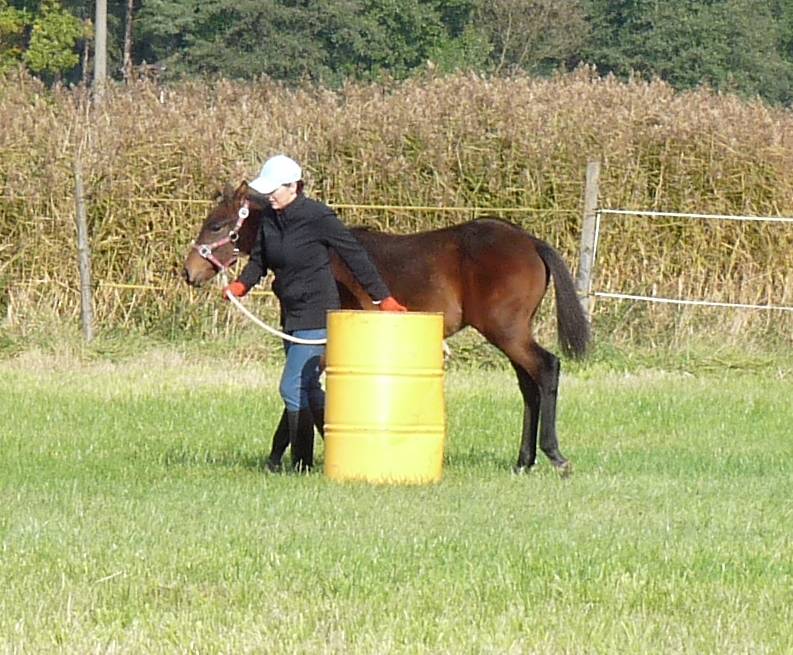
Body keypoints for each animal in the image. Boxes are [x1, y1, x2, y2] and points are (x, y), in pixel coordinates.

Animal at [184, 182, 588, 474]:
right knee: (529, 387)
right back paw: (523, 461)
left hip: (507, 331)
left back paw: (555, 455)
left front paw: (282, 458)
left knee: (547, 369)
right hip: (512, 334)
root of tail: (531, 241)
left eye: (216, 225)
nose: (189, 272)